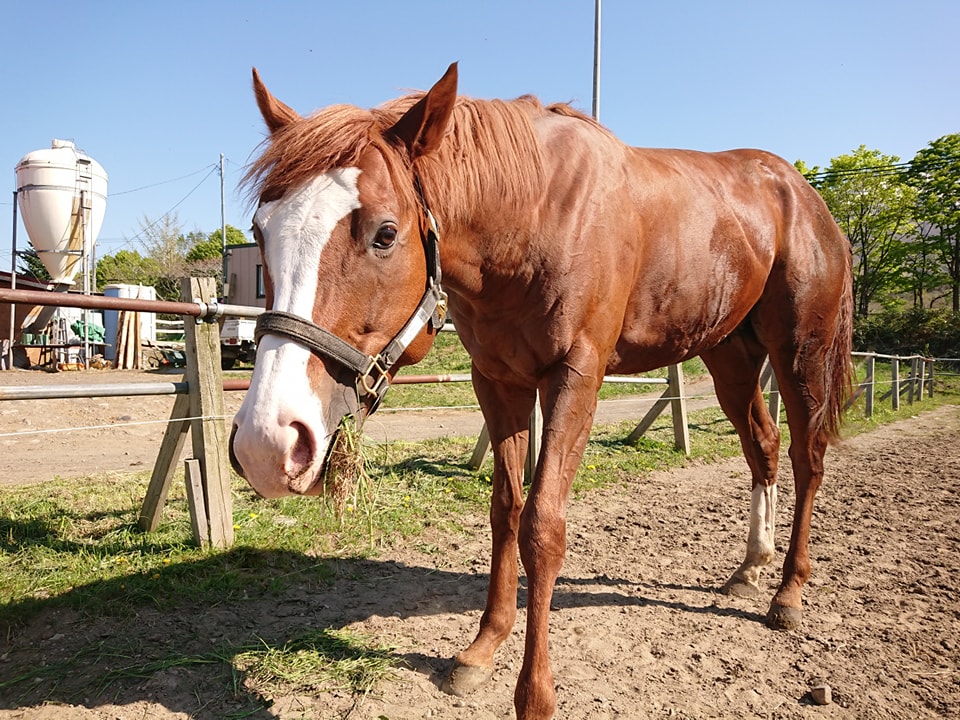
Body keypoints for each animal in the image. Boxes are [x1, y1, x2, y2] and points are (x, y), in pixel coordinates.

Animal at [229, 63, 852, 720]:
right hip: (729, 355)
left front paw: (535, 694)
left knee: (808, 456)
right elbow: (505, 512)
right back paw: (751, 566)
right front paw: (484, 646)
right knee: (763, 446)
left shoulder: (575, 378)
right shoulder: (498, 381)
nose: (265, 444)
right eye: (260, 231)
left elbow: (543, 528)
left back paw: (788, 591)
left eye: (385, 234)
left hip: (800, 353)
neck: (532, 216)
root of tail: (803, 194)